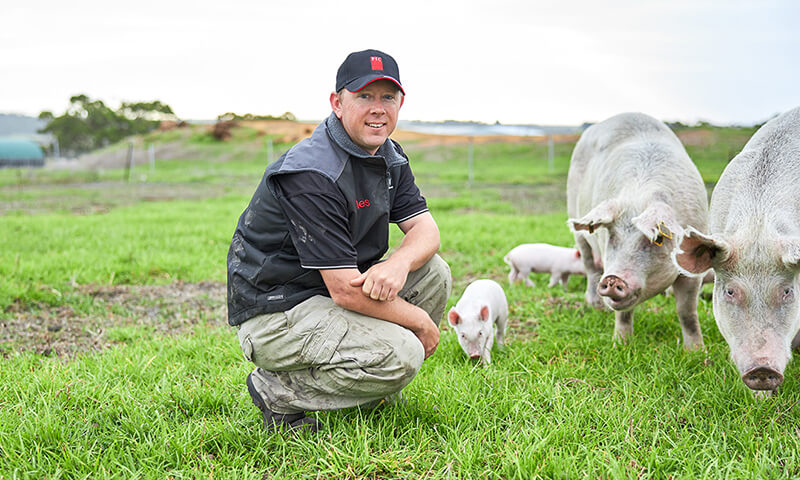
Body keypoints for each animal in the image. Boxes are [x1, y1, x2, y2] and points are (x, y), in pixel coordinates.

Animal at [568, 112, 708, 348]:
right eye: (612, 236)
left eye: (658, 238)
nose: (613, 279)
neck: (640, 195)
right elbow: (623, 314)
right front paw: (620, 344)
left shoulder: (692, 270)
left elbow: (687, 311)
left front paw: (696, 352)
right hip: (578, 229)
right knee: (590, 266)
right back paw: (596, 306)